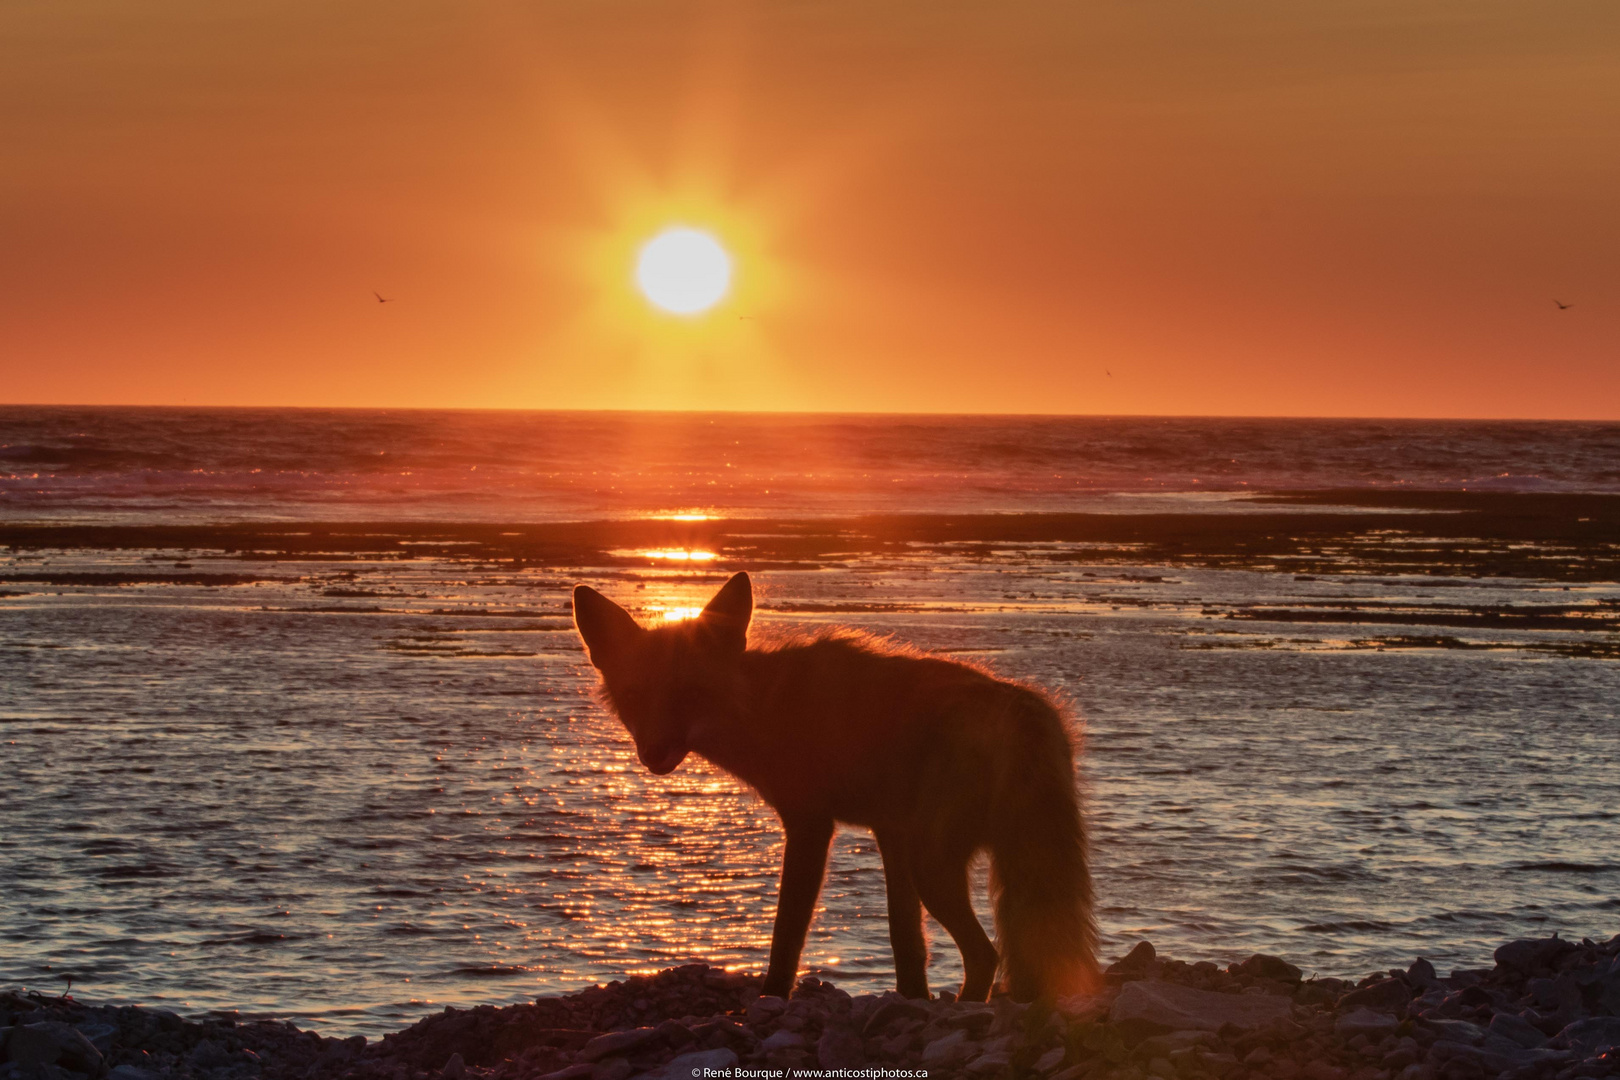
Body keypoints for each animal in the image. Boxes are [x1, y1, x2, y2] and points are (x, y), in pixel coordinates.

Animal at [573, 573, 1101, 1003]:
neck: (764, 708)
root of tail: (1026, 710)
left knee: (986, 956)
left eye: (690, 694)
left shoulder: (810, 826)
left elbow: (786, 937)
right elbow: (906, 943)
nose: (653, 753)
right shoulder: (891, 833)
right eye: (634, 696)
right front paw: (912, 1001)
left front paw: (771, 999)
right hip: (945, 860)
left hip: (933, 865)